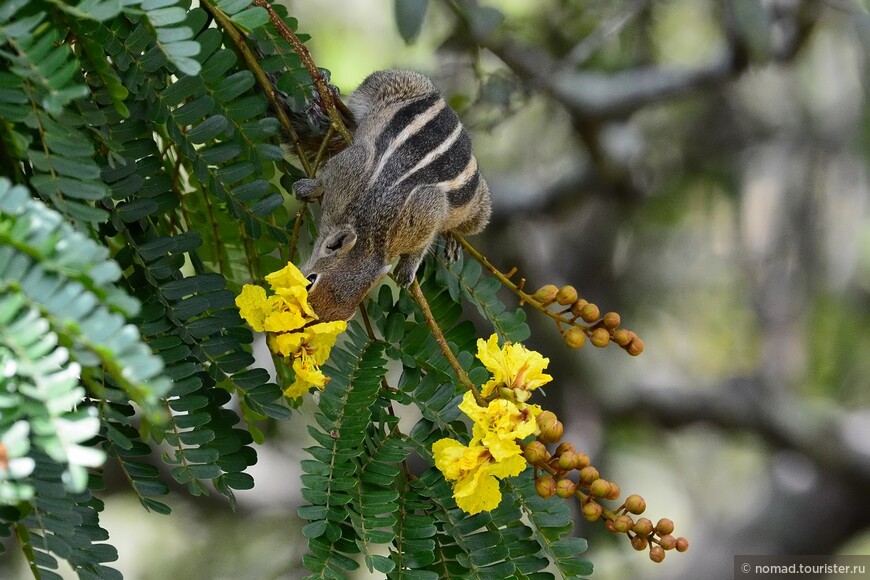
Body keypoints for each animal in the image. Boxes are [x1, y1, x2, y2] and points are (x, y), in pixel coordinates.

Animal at [292, 69, 494, 322]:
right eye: (310, 282)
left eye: (341, 319)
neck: (367, 230)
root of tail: (445, 105)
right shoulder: (350, 169)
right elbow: (328, 174)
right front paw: (308, 187)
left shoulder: (426, 211)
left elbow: (422, 243)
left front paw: (408, 269)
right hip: (391, 84)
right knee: (357, 113)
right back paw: (328, 99)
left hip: (477, 208)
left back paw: (453, 238)